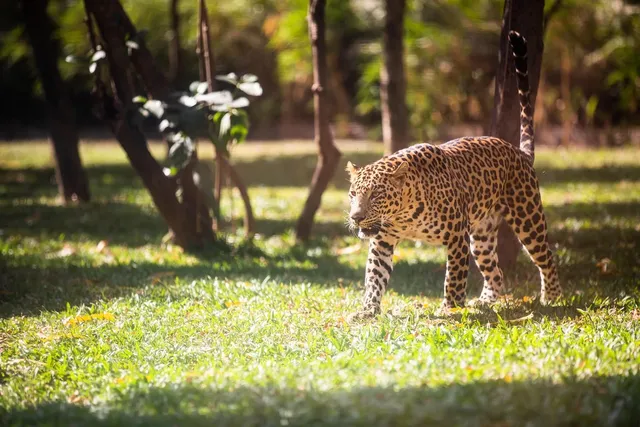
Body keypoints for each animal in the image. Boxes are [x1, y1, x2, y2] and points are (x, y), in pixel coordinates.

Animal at [344, 30, 562, 321]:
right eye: (353, 194)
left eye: (376, 194)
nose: (356, 217)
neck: (403, 214)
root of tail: (520, 152)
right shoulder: (382, 241)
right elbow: (374, 278)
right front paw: (367, 310)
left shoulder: (457, 236)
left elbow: (454, 277)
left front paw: (450, 308)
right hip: (481, 237)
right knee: (496, 271)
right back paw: (484, 302)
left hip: (527, 218)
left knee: (546, 256)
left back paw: (552, 297)